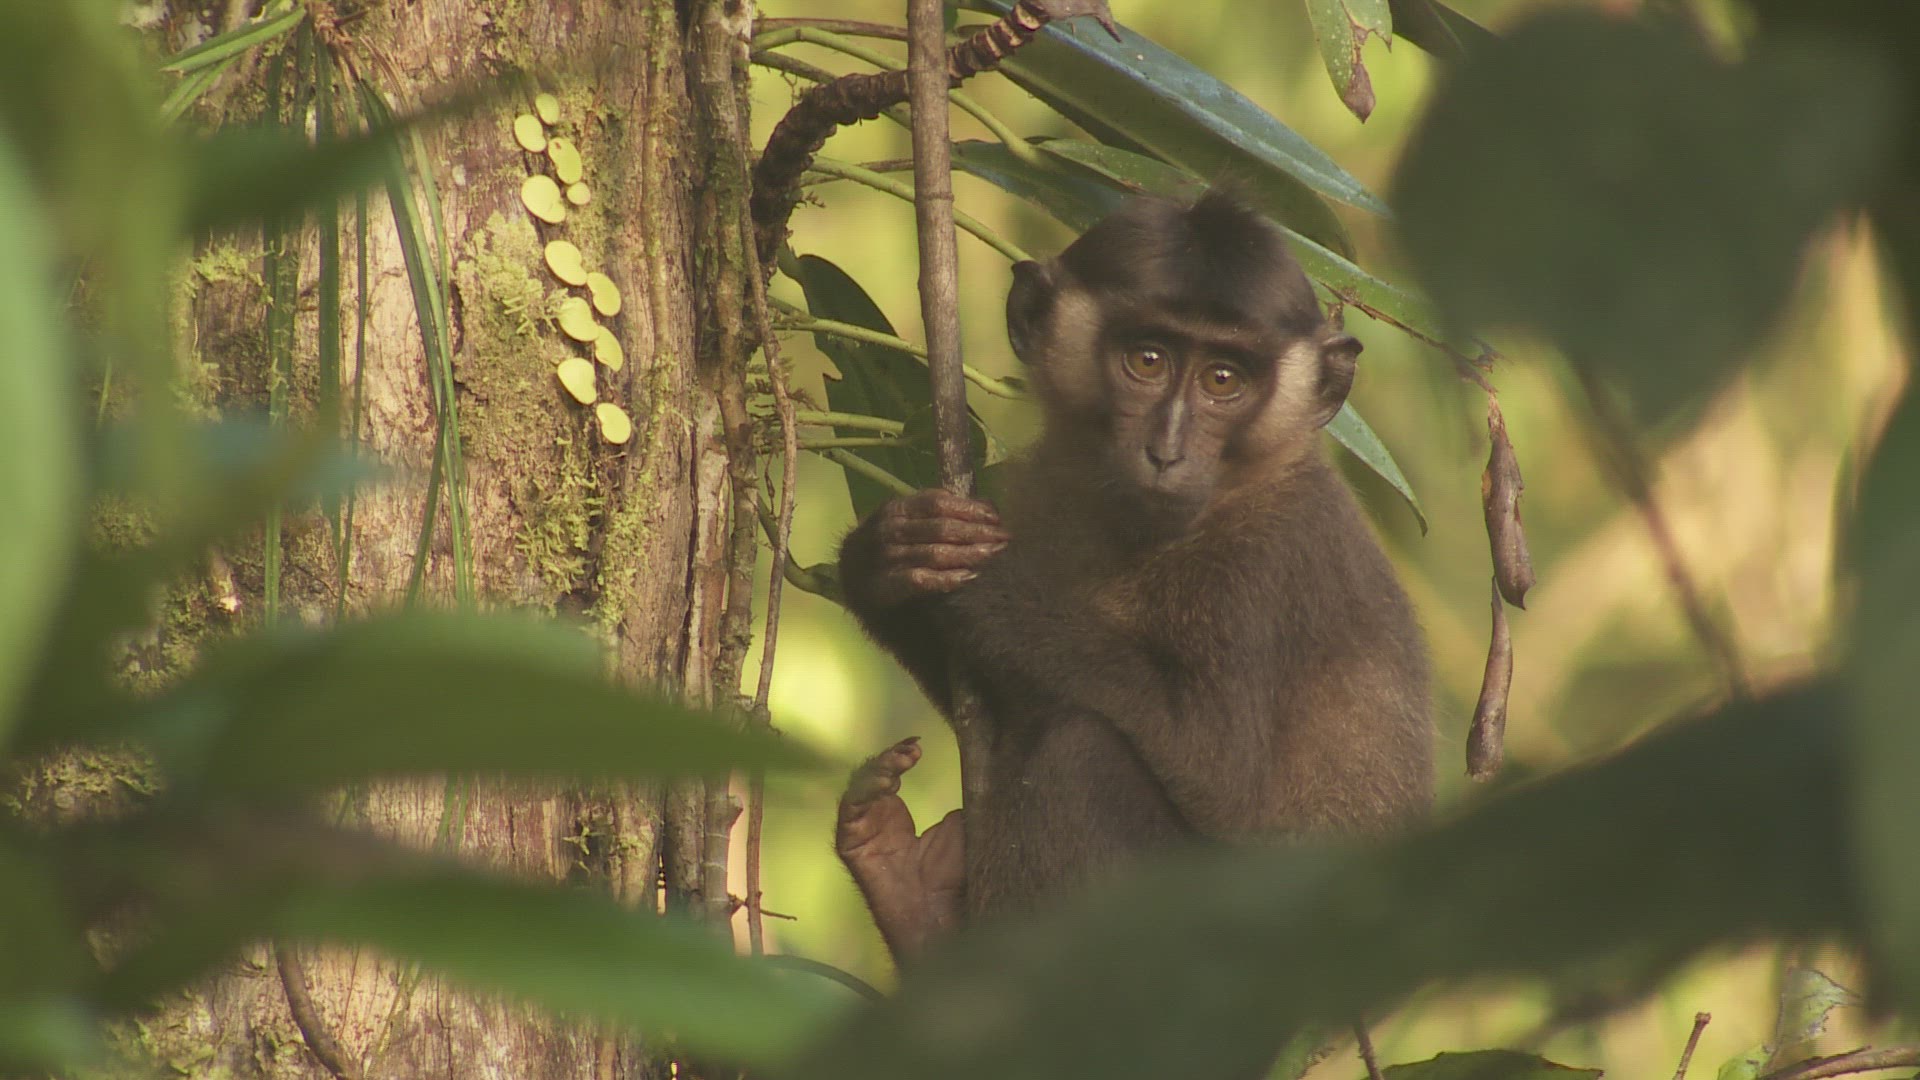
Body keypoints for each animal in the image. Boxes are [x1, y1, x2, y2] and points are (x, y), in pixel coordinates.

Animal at [834, 189, 1433, 956]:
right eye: (1147, 360)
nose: (1167, 451)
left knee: (1081, 752)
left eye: (1222, 380)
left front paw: (983, 593)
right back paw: (913, 903)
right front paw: (887, 562)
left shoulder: (1263, 565)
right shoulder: (1039, 490)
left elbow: (1216, 771)